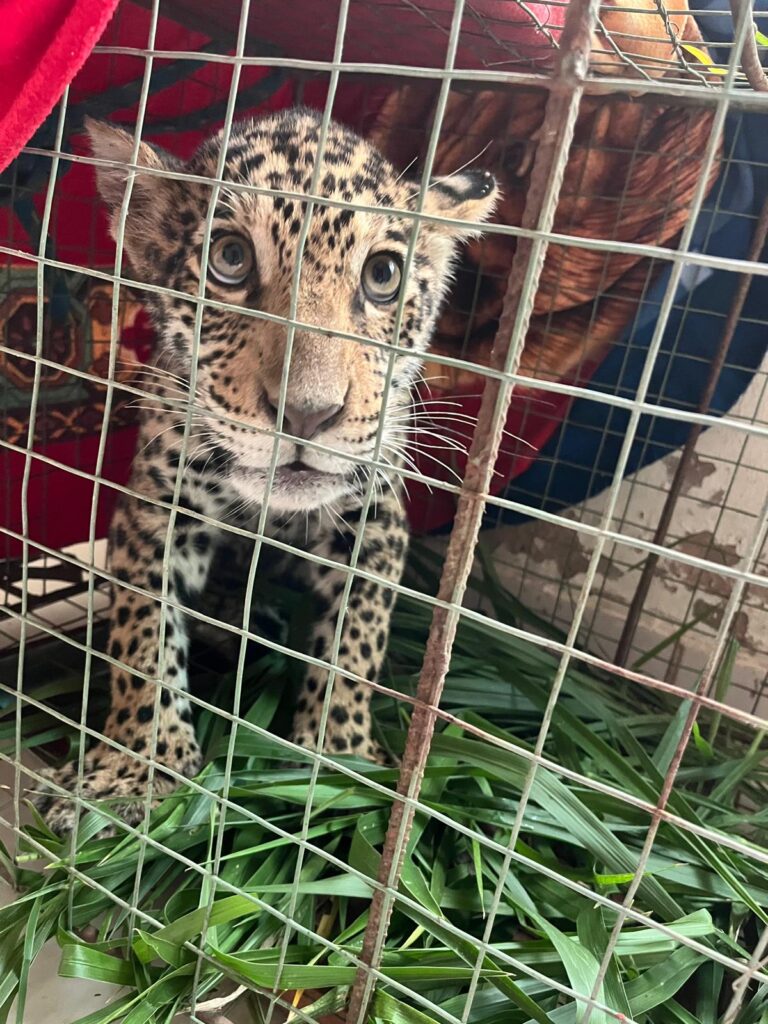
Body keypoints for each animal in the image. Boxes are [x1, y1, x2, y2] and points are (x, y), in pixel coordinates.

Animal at [34, 106, 497, 835]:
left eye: (383, 276)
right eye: (230, 259)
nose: (308, 414)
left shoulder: (375, 522)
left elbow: (355, 645)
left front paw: (338, 757)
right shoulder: (155, 514)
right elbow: (143, 641)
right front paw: (139, 769)